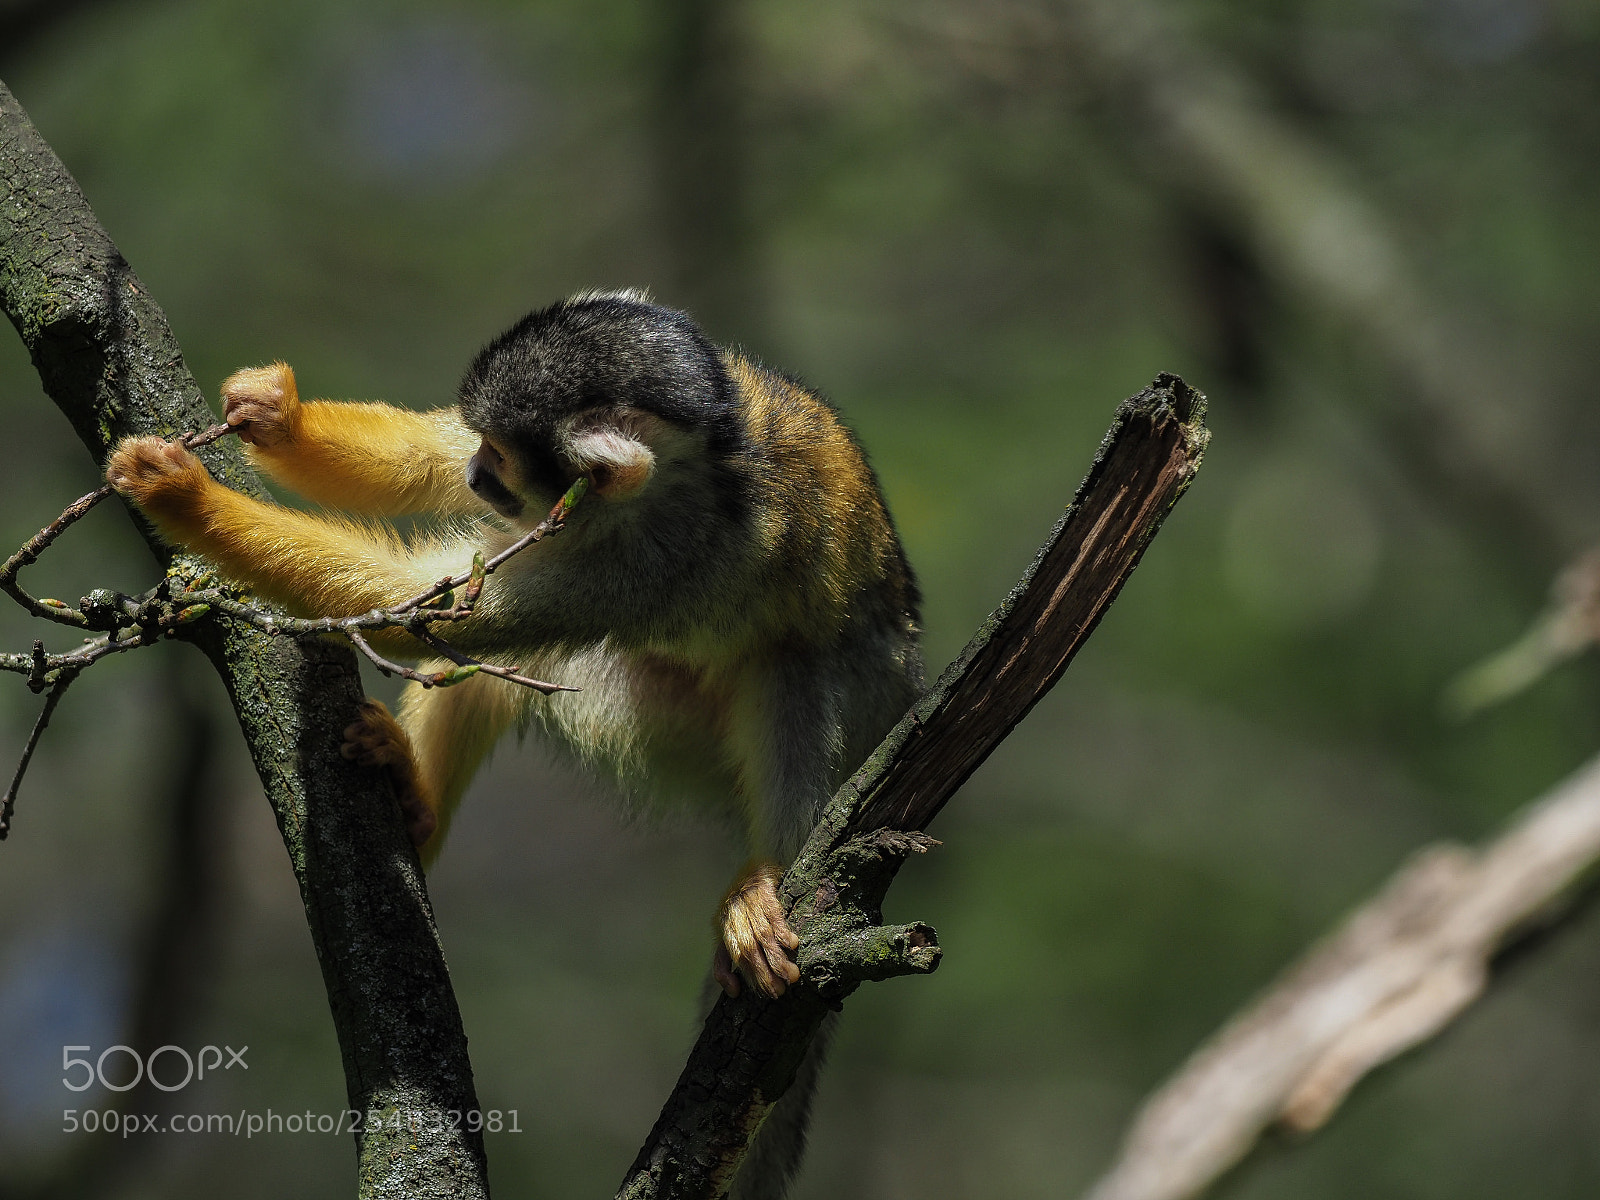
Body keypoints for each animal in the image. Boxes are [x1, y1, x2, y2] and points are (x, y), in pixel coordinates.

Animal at [105, 290, 923, 1195]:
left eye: (501, 458)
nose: (477, 476)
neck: (706, 457)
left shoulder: (650, 561)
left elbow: (440, 608)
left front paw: (184, 498)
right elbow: (430, 476)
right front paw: (276, 416)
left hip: (857, 693)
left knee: (789, 670)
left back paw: (768, 880)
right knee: (511, 644)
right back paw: (416, 802)